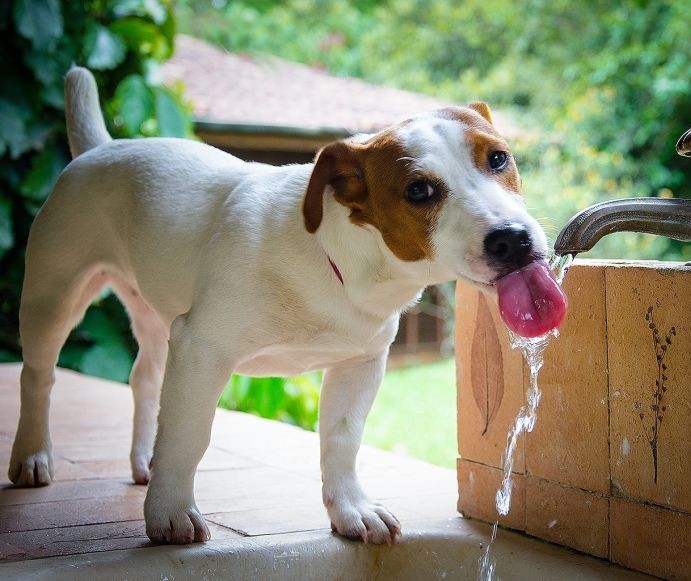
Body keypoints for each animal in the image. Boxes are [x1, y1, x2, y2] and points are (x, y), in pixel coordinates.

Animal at [8, 67, 564, 544]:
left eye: (498, 159)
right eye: (419, 190)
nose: (512, 239)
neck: (340, 265)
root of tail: (101, 148)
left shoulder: (360, 363)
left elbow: (342, 439)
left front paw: (351, 509)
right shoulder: (201, 349)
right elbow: (189, 434)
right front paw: (170, 513)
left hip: (153, 312)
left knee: (144, 377)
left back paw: (145, 460)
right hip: (52, 297)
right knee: (38, 377)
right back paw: (33, 456)